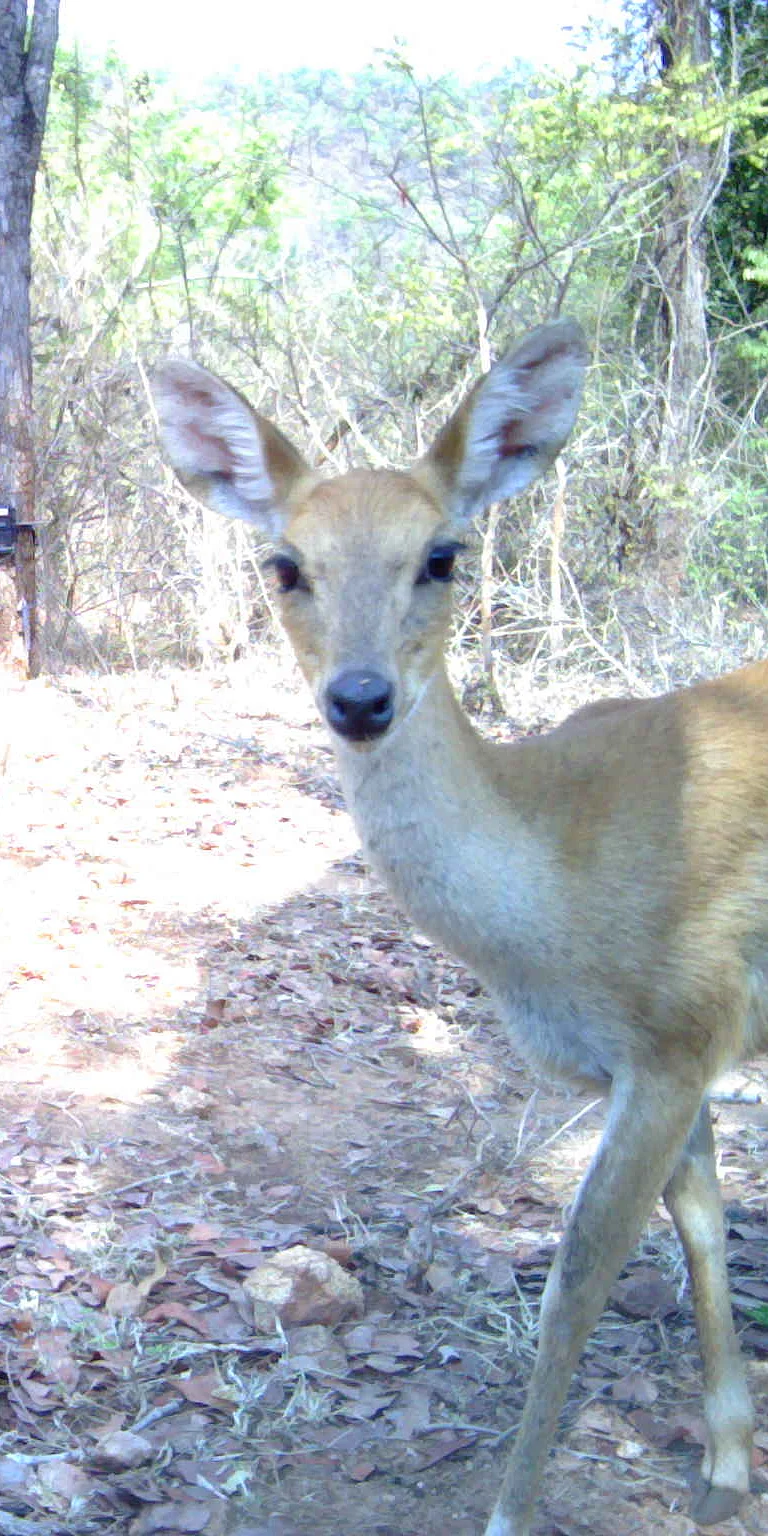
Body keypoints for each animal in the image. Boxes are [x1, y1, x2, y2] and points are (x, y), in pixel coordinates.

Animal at [152, 320, 766, 1535]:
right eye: (283, 565)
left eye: (444, 555)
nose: (359, 698)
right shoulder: (660, 1058)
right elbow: (703, 1222)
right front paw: (728, 1463)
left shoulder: (683, 1031)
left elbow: (577, 1280)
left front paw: (509, 1514)